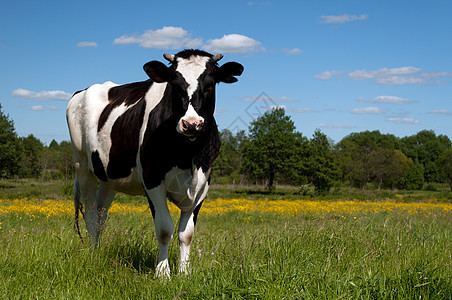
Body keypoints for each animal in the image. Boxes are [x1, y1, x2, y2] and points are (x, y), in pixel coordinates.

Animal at [66, 48, 244, 276]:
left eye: (210, 84)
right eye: (174, 84)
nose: (191, 124)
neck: (188, 156)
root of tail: (83, 91)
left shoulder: (203, 183)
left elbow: (186, 233)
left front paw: (184, 272)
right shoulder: (152, 179)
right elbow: (165, 228)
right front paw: (162, 272)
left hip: (108, 176)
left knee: (100, 215)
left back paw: (97, 252)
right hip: (82, 165)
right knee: (89, 213)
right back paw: (91, 254)